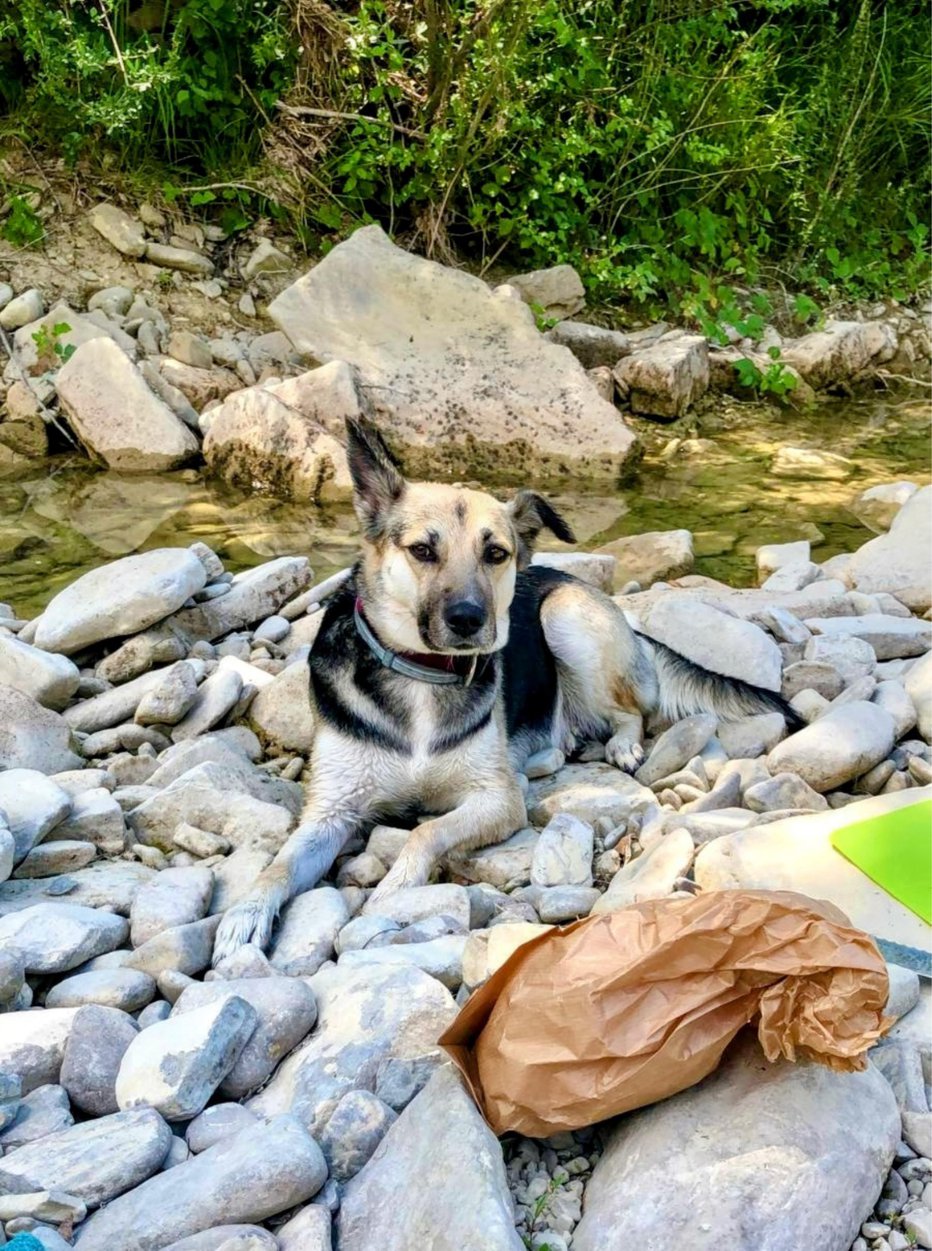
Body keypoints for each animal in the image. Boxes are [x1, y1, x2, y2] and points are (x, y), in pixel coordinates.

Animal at [211, 415, 790, 960]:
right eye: (422, 551)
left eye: (495, 554)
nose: (469, 619)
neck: (423, 672)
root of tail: (568, 578)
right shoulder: (330, 812)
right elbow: (280, 864)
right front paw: (245, 916)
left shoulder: (498, 800)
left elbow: (425, 830)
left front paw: (392, 891)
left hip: (565, 619)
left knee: (630, 711)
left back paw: (619, 745)